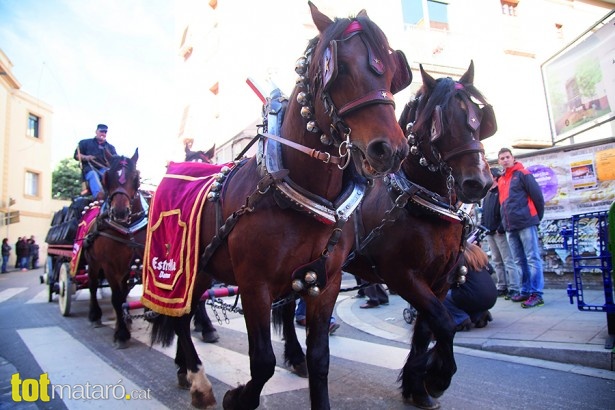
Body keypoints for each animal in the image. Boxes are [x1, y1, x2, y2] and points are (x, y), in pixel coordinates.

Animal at [84, 151, 149, 350]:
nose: (120, 212)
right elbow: (116, 298)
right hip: (93, 263)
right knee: (93, 285)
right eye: (107, 177)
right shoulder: (109, 266)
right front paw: (121, 334)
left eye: (136, 177)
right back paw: (95, 316)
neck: (128, 229)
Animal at [146, 1, 412, 408]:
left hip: (202, 269)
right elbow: (263, 362)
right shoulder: (254, 283)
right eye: (339, 68)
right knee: (180, 316)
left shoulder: (324, 282)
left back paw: (184, 369)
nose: (391, 150)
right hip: (181, 269)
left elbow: (320, 359)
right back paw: (198, 379)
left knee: (184, 314)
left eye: (393, 68)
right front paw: (238, 396)